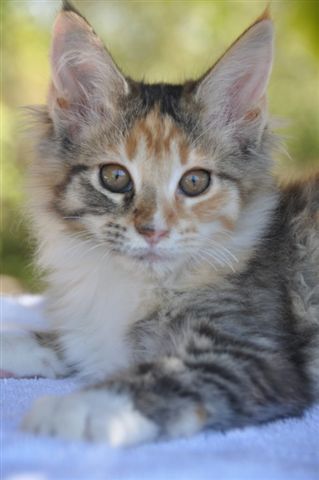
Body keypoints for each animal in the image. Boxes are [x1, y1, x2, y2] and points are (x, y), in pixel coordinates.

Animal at [3, 1, 319, 448]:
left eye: (195, 182)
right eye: (115, 177)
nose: (154, 231)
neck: (137, 284)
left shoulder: (252, 353)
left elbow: (163, 377)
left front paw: (77, 408)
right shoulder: (95, 336)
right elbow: (53, 339)